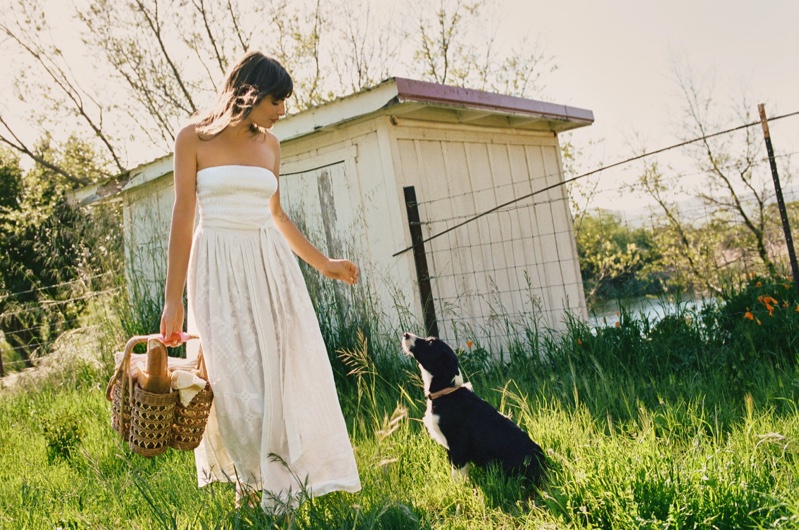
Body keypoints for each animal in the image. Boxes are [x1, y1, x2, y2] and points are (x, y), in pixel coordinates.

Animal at [404, 332, 548, 484]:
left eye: (430, 342)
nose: (406, 334)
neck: (446, 392)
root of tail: (542, 462)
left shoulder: (458, 445)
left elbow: (457, 473)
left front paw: (459, 488)